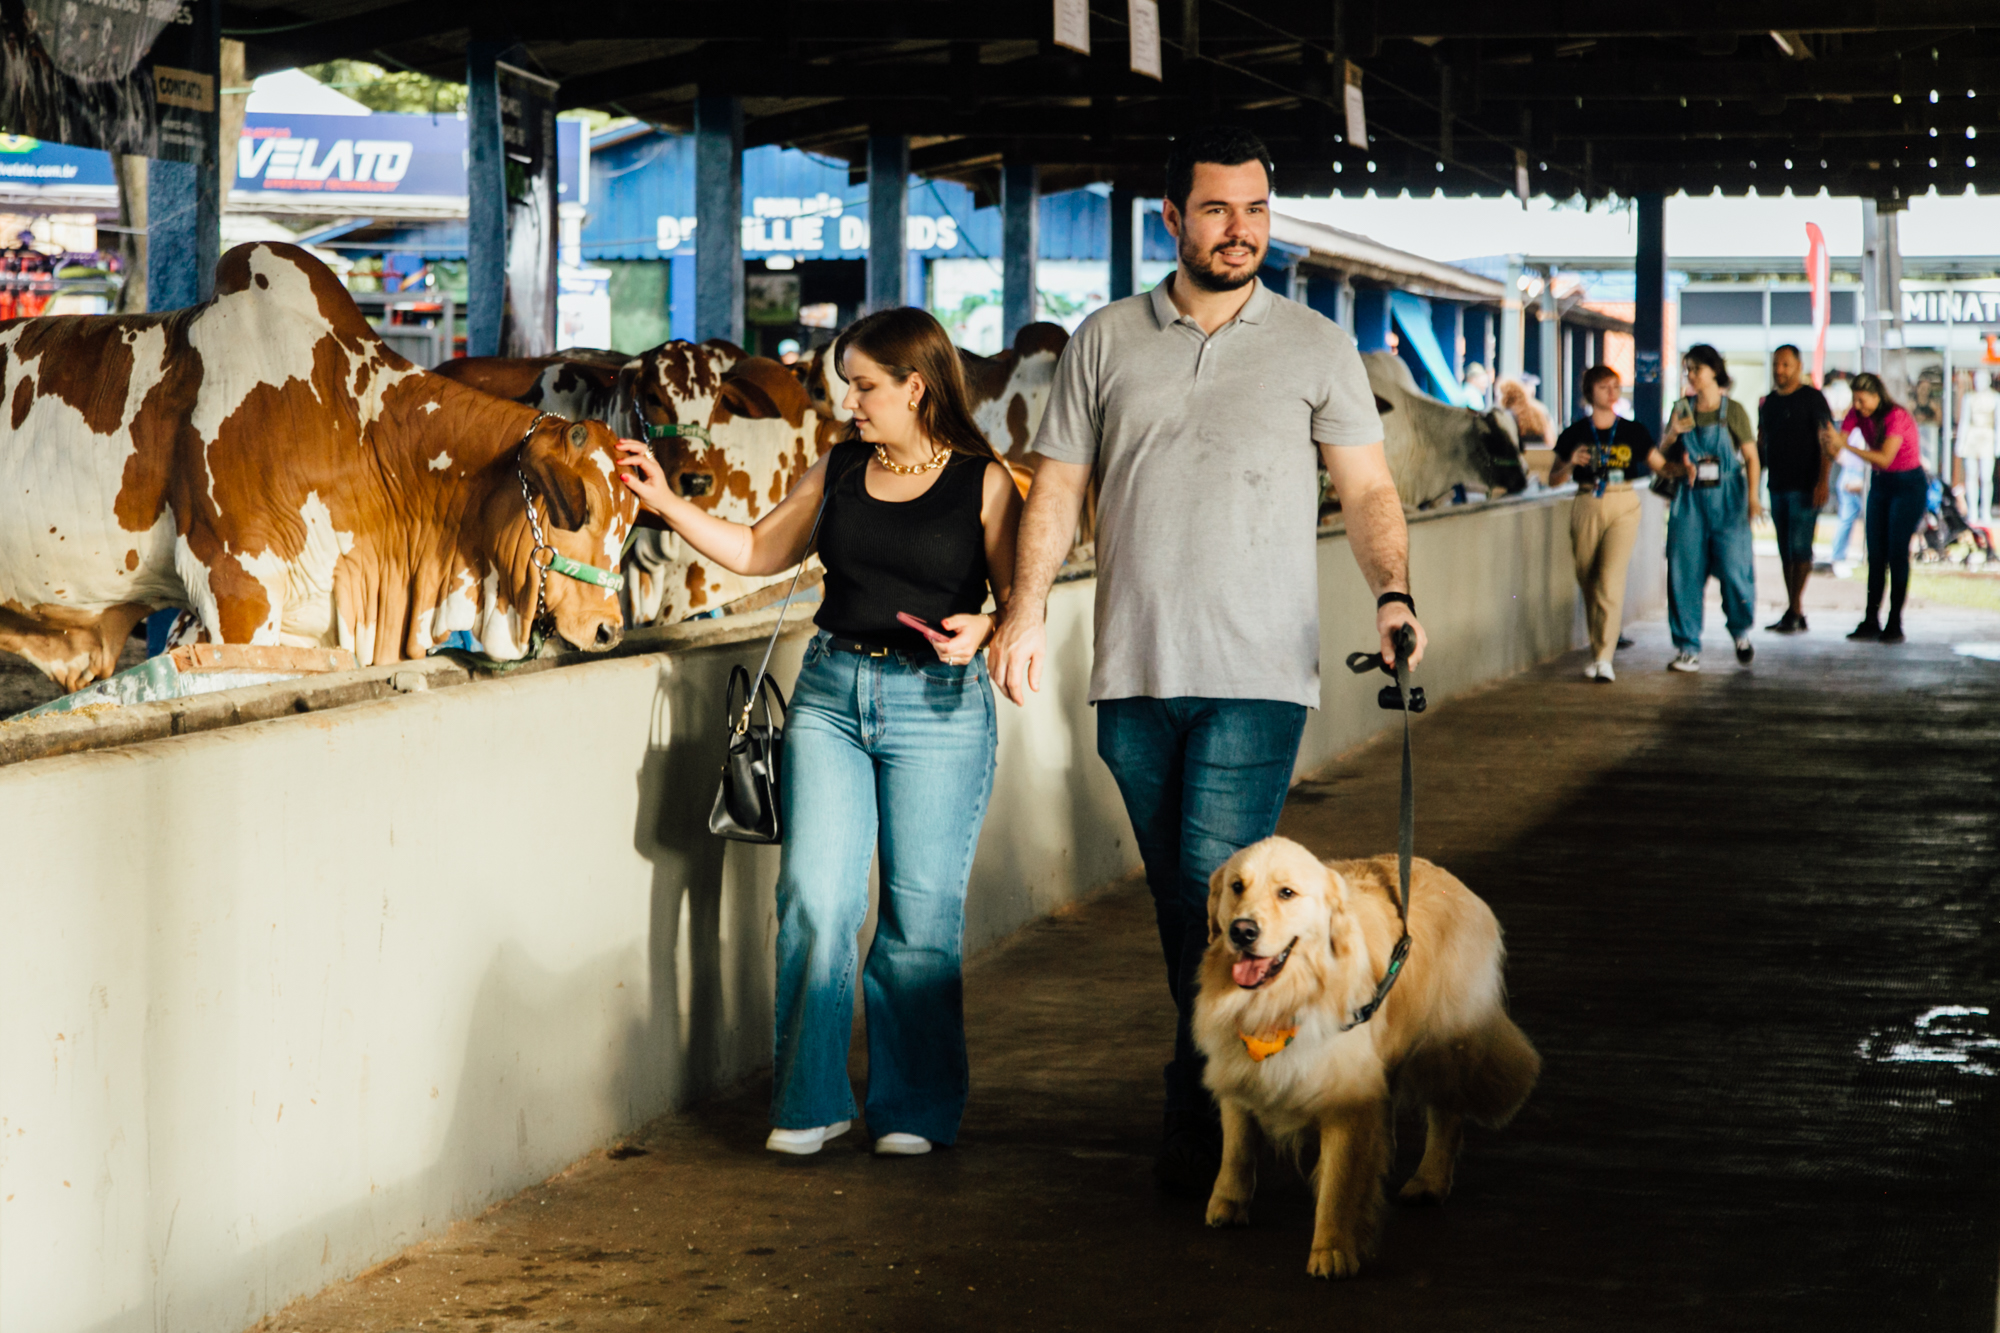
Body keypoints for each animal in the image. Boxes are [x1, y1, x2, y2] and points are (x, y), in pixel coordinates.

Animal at [1192, 836, 1536, 1272]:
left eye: (1286, 893)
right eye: (1237, 886)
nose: (1242, 931)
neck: (1283, 1000)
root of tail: (1452, 881)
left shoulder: (1346, 1096)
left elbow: (1339, 1182)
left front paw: (1333, 1250)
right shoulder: (1236, 1070)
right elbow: (1236, 1149)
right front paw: (1226, 1204)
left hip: (1440, 1043)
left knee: (1447, 1112)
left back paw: (1429, 1180)